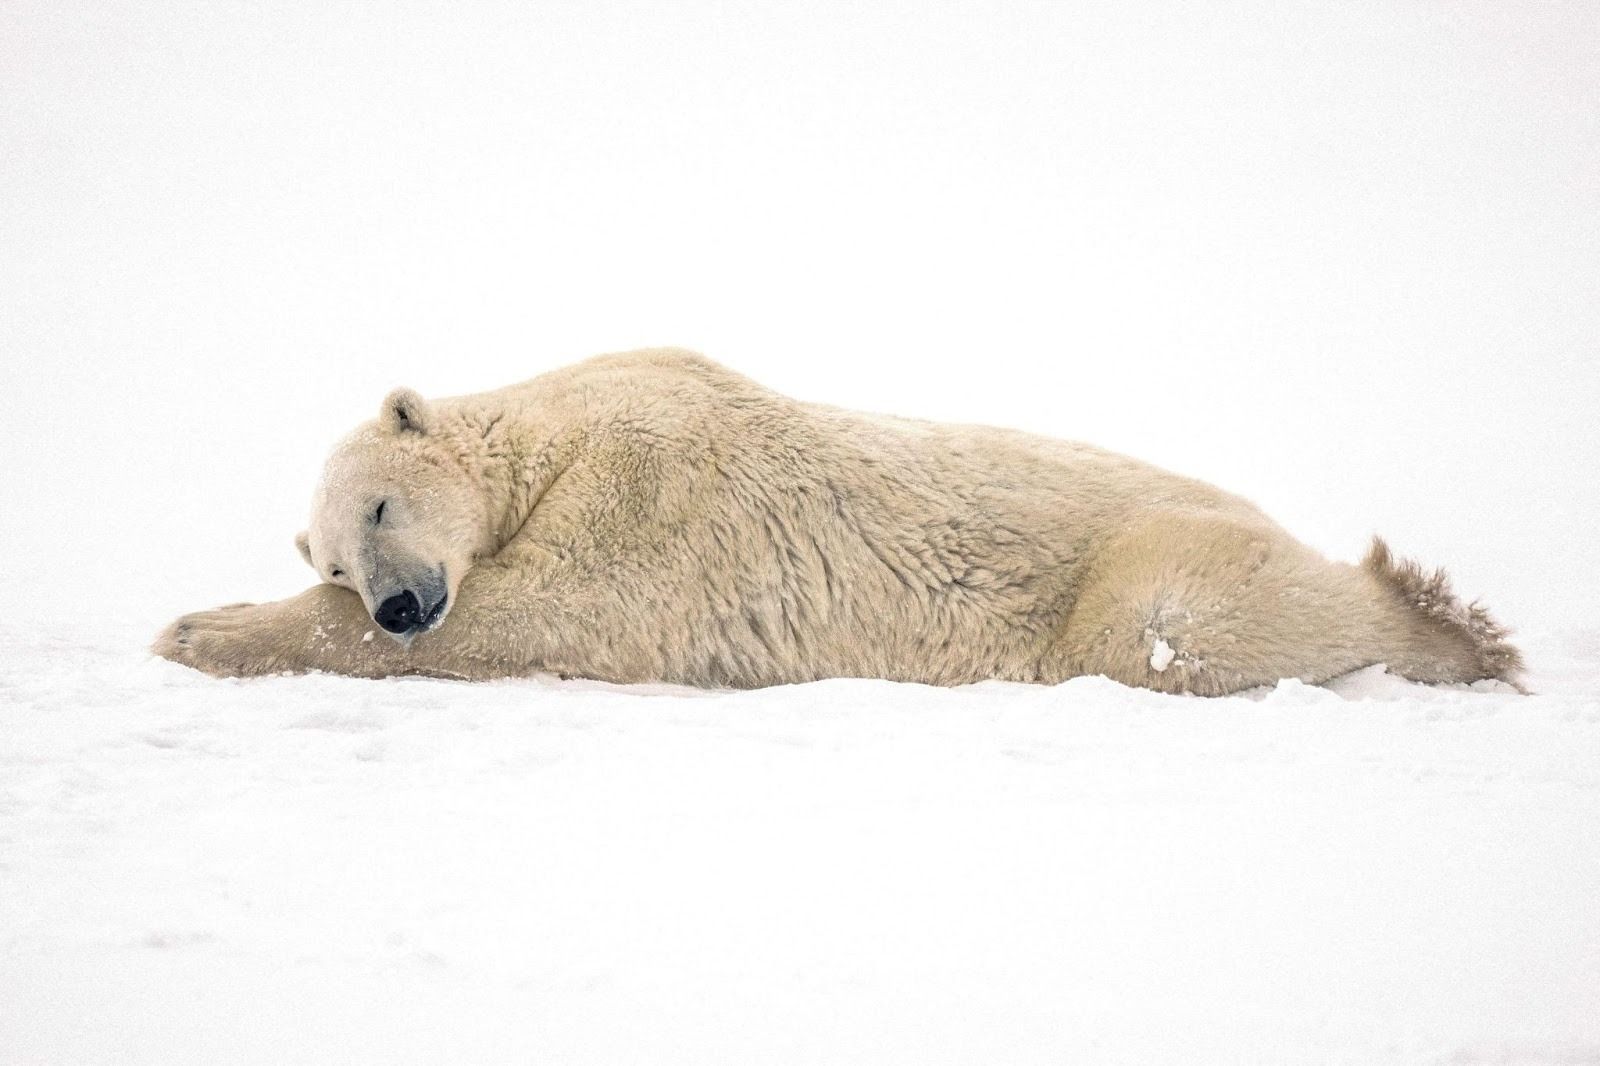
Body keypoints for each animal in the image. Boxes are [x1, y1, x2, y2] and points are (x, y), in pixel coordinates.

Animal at [154, 347, 1524, 695]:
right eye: (342, 555)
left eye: (382, 504)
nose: (397, 601)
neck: (561, 425)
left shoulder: (654, 480)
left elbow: (556, 602)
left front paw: (195, 627)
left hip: (1149, 552)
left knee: (1169, 624)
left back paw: (1437, 619)